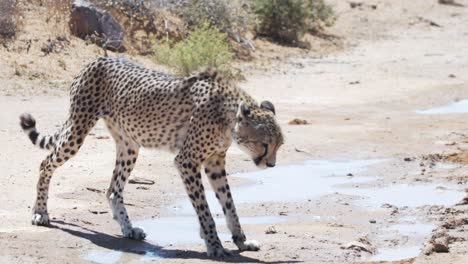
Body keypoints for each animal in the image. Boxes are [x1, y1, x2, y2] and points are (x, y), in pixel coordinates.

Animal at [18, 56, 284, 256]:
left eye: (279, 145)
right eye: (264, 145)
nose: (271, 165)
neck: (228, 117)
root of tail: (99, 58)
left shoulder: (214, 163)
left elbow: (229, 204)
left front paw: (241, 240)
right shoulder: (187, 161)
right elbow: (205, 209)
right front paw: (214, 245)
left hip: (130, 145)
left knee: (113, 190)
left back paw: (129, 229)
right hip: (77, 129)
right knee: (45, 163)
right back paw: (40, 212)